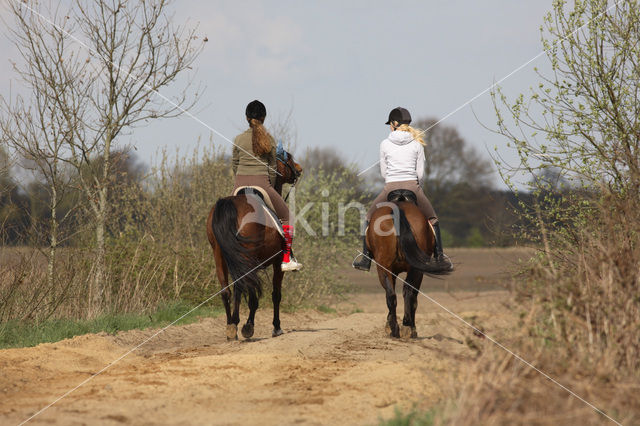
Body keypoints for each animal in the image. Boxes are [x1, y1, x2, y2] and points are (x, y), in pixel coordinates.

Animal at [208, 149, 302, 340]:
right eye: (287, 156)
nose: (299, 169)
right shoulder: (276, 262)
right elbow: (275, 294)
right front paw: (273, 327)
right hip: (245, 256)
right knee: (241, 286)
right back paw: (239, 324)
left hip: (220, 254)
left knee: (226, 289)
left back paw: (230, 327)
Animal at [364, 190, 450, 340]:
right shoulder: (417, 271)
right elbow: (413, 298)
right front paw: (410, 327)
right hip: (411, 269)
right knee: (407, 292)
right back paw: (405, 327)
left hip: (384, 266)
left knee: (392, 295)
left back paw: (395, 329)